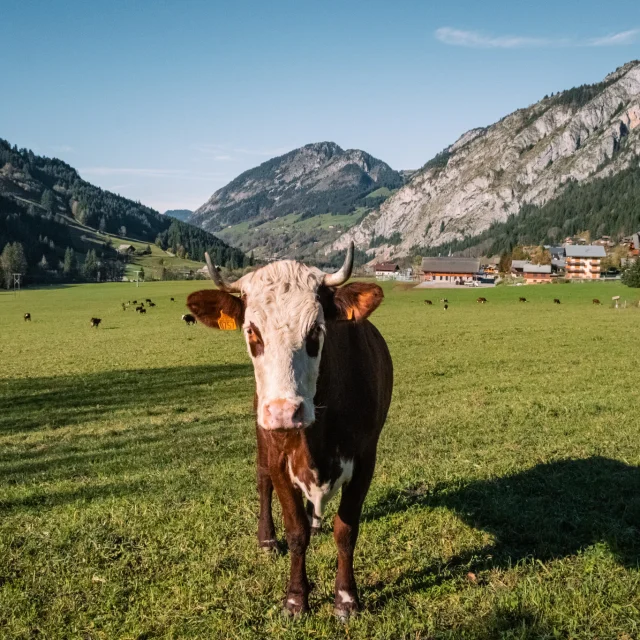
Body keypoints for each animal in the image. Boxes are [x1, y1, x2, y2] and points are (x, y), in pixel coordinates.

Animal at [188, 242, 392, 616]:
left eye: (316, 331)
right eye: (251, 331)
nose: (285, 411)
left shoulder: (365, 460)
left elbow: (346, 530)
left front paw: (346, 598)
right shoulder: (279, 459)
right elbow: (296, 531)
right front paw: (296, 598)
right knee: (261, 480)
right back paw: (267, 538)